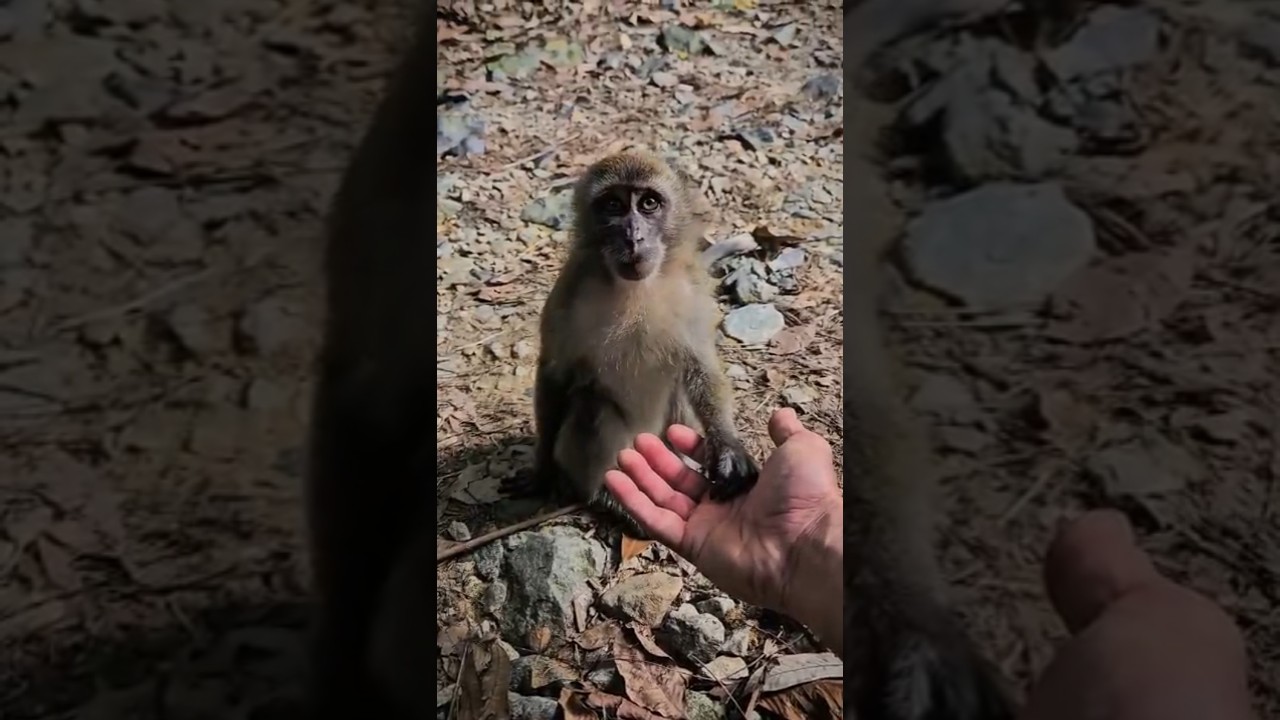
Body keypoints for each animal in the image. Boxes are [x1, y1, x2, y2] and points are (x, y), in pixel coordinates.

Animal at [530, 151, 759, 538]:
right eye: (613, 205)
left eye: (649, 203)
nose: (633, 237)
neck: (636, 288)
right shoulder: (570, 289)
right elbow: (555, 373)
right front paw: (544, 468)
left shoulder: (692, 289)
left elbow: (701, 364)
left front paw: (727, 447)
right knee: (592, 406)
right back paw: (607, 496)